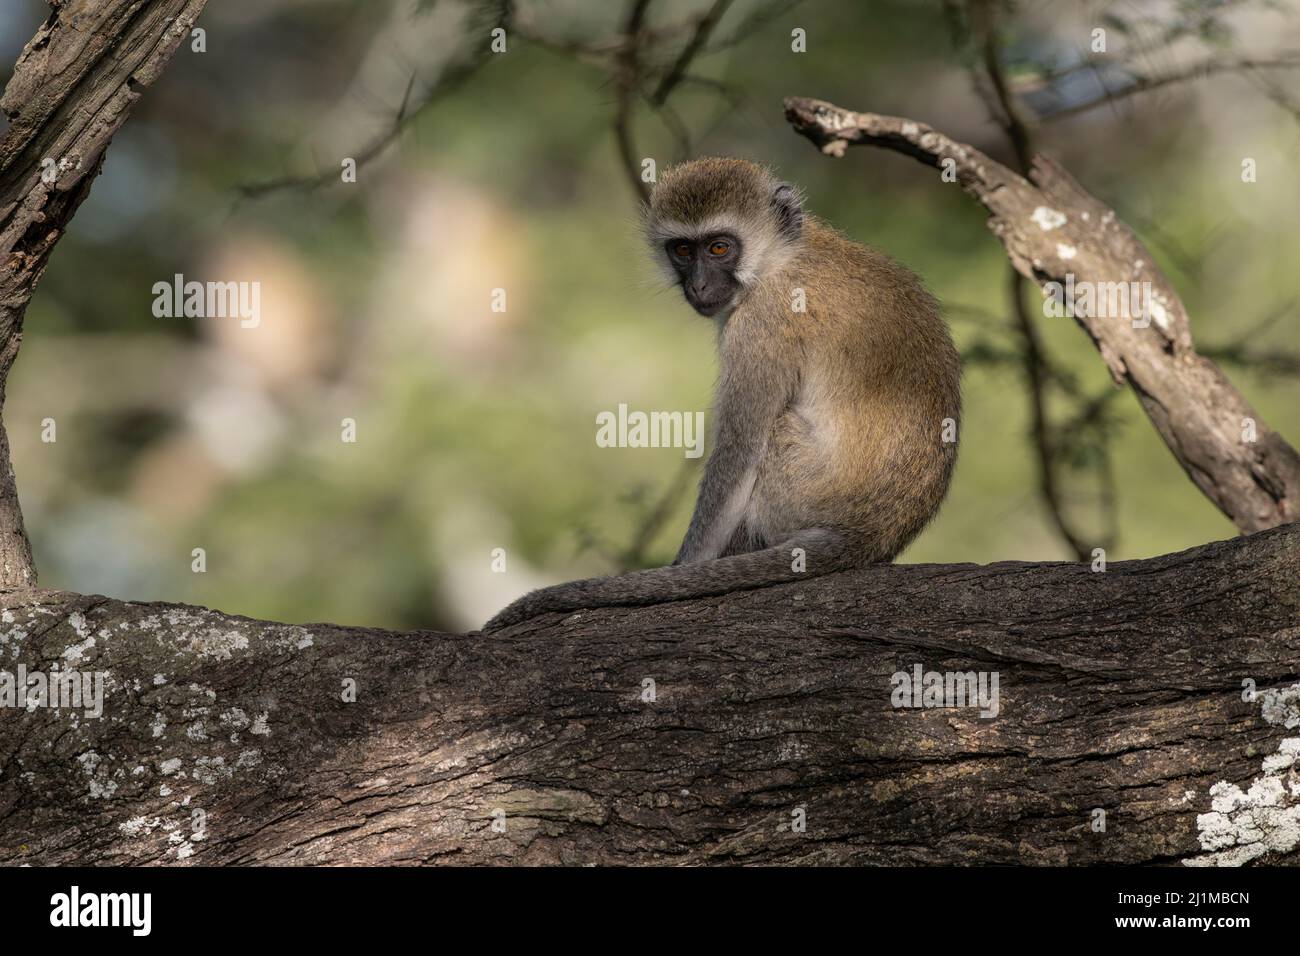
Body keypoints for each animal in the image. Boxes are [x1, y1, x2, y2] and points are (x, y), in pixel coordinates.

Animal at [483, 157, 961, 632]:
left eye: (718, 248)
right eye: (682, 250)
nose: (698, 286)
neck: (784, 257)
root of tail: (871, 533)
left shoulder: (761, 321)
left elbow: (740, 450)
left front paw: (686, 568)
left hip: (802, 493)